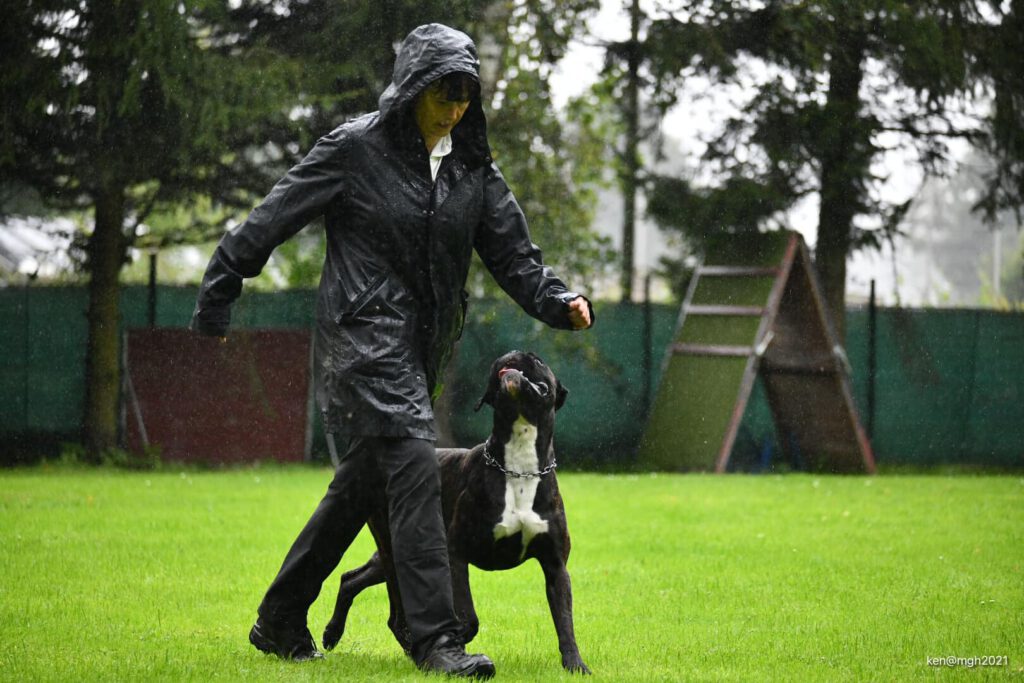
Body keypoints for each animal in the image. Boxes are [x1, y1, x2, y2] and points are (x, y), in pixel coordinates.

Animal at [319, 352, 593, 671]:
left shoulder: (555, 565)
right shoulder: (456, 553)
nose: (516, 354)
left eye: (538, 360)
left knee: (353, 580)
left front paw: (575, 664)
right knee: (390, 607)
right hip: (393, 547)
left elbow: (564, 619)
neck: (520, 463)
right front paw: (457, 639)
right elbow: (468, 615)